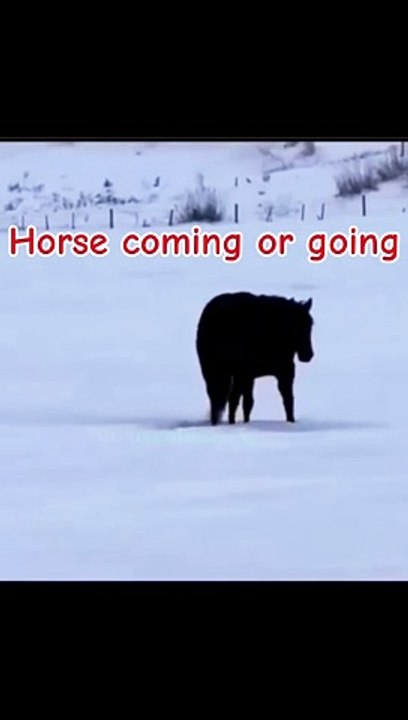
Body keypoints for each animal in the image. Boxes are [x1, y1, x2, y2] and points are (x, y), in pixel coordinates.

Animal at [196, 292, 314, 425]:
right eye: (294, 327)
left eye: (310, 325)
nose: (308, 355)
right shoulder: (246, 374)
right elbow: (245, 402)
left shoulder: (283, 372)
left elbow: (287, 400)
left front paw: (291, 421)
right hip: (219, 372)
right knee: (224, 399)